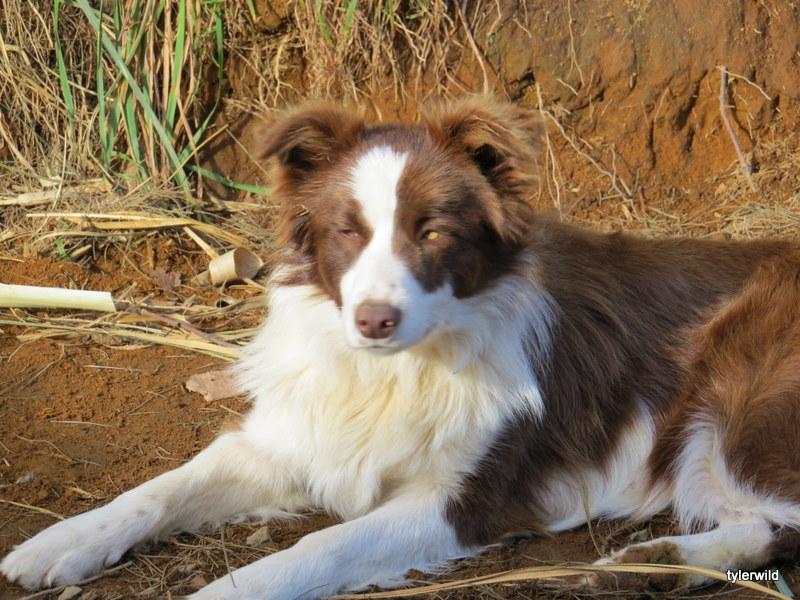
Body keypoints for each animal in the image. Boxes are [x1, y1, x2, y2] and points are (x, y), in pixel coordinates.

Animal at [3, 98, 800, 599]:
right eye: (347, 230)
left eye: (433, 231)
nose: (374, 320)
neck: (392, 372)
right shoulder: (288, 438)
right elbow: (159, 489)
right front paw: (62, 540)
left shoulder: (461, 499)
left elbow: (320, 546)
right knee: (760, 526)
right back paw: (646, 564)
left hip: (741, 399)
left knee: (776, 523)